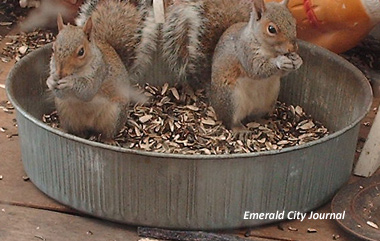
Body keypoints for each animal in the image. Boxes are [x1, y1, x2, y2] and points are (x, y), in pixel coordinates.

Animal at [209, 0, 302, 130]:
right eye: (271, 29)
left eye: (294, 23)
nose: (293, 48)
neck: (270, 51)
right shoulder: (245, 51)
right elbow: (256, 69)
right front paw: (280, 61)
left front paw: (297, 60)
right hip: (231, 99)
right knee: (230, 121)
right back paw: (239, 129)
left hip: (268, 100)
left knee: (254, 116)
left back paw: (263, 121)